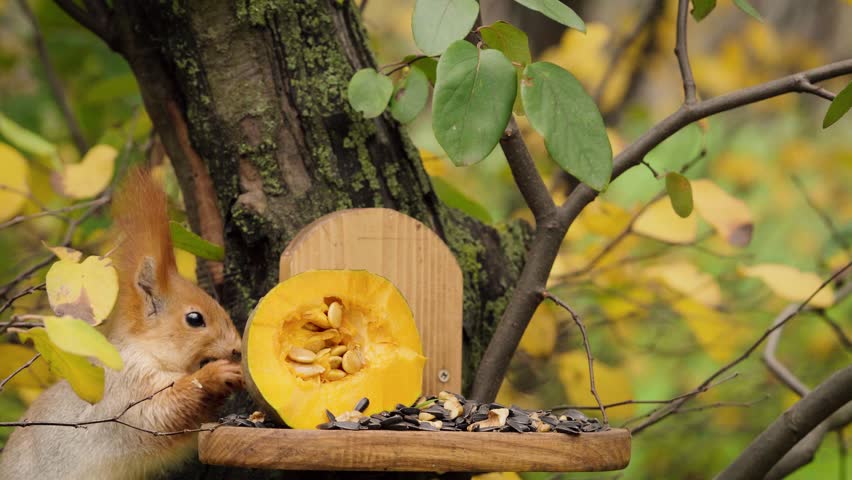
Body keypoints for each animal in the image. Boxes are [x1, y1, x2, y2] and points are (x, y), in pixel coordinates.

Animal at [0, 169, 243, 480]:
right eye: (194, 319)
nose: (237, 349)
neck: (146, 350)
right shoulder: (127, 391)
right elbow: (162, 412)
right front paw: (216, 375)